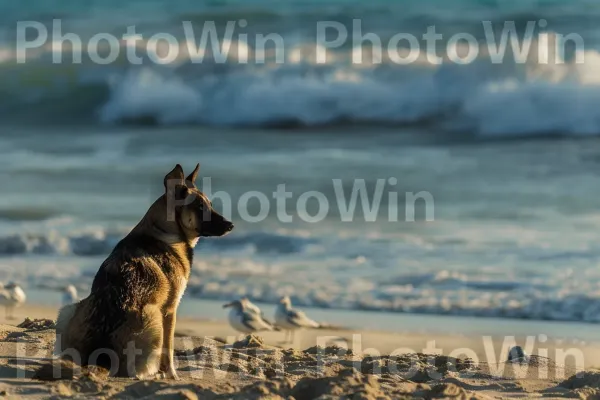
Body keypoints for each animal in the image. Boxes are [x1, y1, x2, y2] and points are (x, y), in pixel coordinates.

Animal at [54, 164, 232, 380]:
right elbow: (168, 351)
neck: (164, 230)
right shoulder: (170, 310)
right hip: (153, 317)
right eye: (199, 207)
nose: (231, 225)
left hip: (68, 310)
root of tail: (101, 356)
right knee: (135, 371)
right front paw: (172, 375)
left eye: (209, 204)